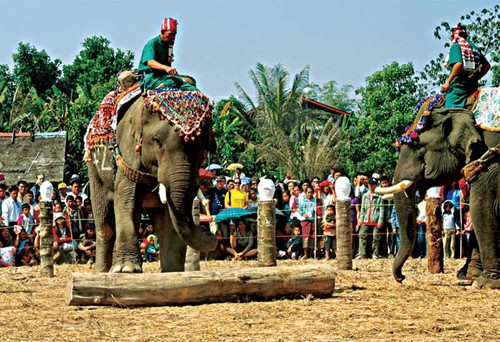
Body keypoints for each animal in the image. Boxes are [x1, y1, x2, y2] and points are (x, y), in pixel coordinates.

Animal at [86, 77, 219, 272]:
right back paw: (101, 272)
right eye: (157, 140)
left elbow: (169, 218)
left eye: (203, 146)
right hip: (95, 172)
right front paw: (125, 270)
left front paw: (173, 272)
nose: (212, 232)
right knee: (105, 224)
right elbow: (125, 200)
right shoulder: (127, 150)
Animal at [376, 95, 498, 290]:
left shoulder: (488, 157)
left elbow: (481, 207)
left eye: (416, 145)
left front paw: (486, 282)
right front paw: (467, 276)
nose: (401, 277)